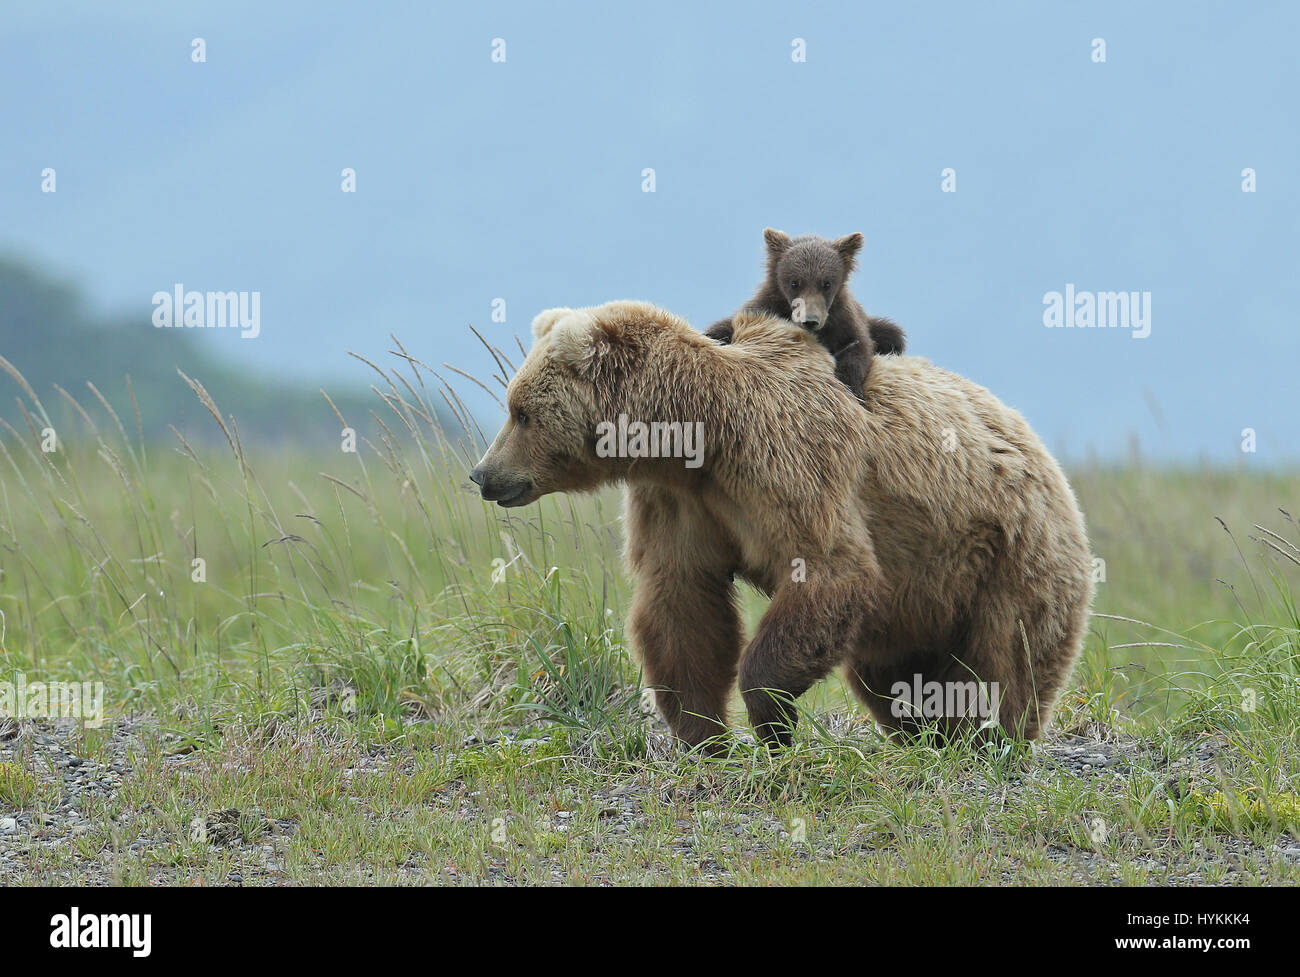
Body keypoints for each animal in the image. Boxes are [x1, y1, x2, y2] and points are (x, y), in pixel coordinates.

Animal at [473, 301, 1092, 753]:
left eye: (520, 411)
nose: (483, 474)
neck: (699, 438)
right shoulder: (681, 502)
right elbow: (681, 603)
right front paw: (705, 735)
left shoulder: (787, 460)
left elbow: (827, 571)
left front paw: (772, 725)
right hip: (918, 601)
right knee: (891, 674)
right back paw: (924, 734)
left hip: (1007, 556)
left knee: (1005, 662)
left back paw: (987, 740)